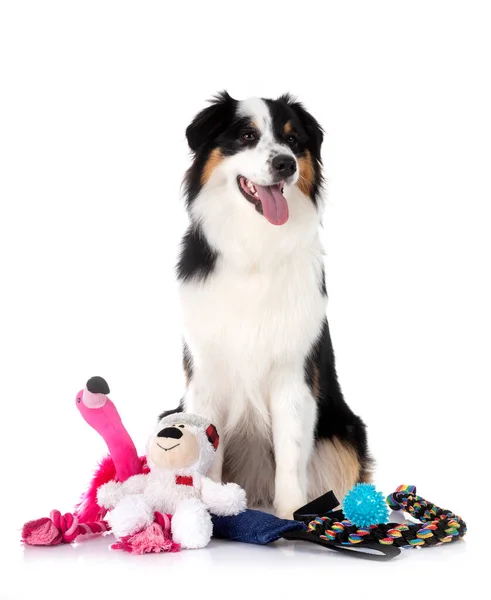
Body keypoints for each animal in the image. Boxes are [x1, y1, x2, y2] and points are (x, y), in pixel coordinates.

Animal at [161, 91, 372, 516]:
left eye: (293, 140)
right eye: (246, 135)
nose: (285, 164)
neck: (255, 248)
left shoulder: (294, 376)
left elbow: (291, 458)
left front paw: (292, 518)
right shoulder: (206, 375)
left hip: (346, 433)